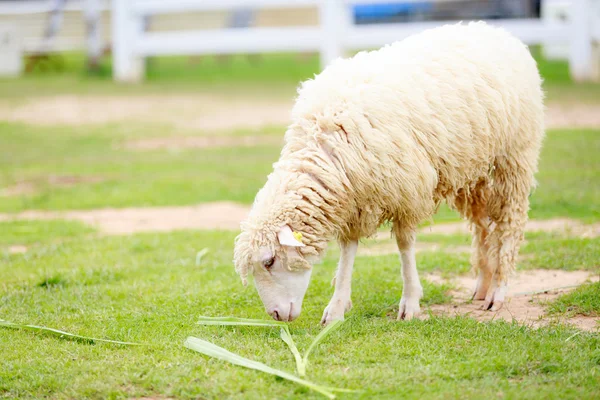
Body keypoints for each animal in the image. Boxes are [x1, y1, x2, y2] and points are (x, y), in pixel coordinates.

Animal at [232, 21, 548, 324]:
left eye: (269, 261)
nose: (275, 315)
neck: (326, 145)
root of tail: (497, 31)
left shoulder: (407, 191)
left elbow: (404, 245)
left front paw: (410, 303)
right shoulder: (355, 199)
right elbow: (348, 250)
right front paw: (336, 308)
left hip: (515, 157)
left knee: (510, 223)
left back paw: (498, 291)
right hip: (472, 173)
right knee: (483, 226)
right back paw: (483, 285)